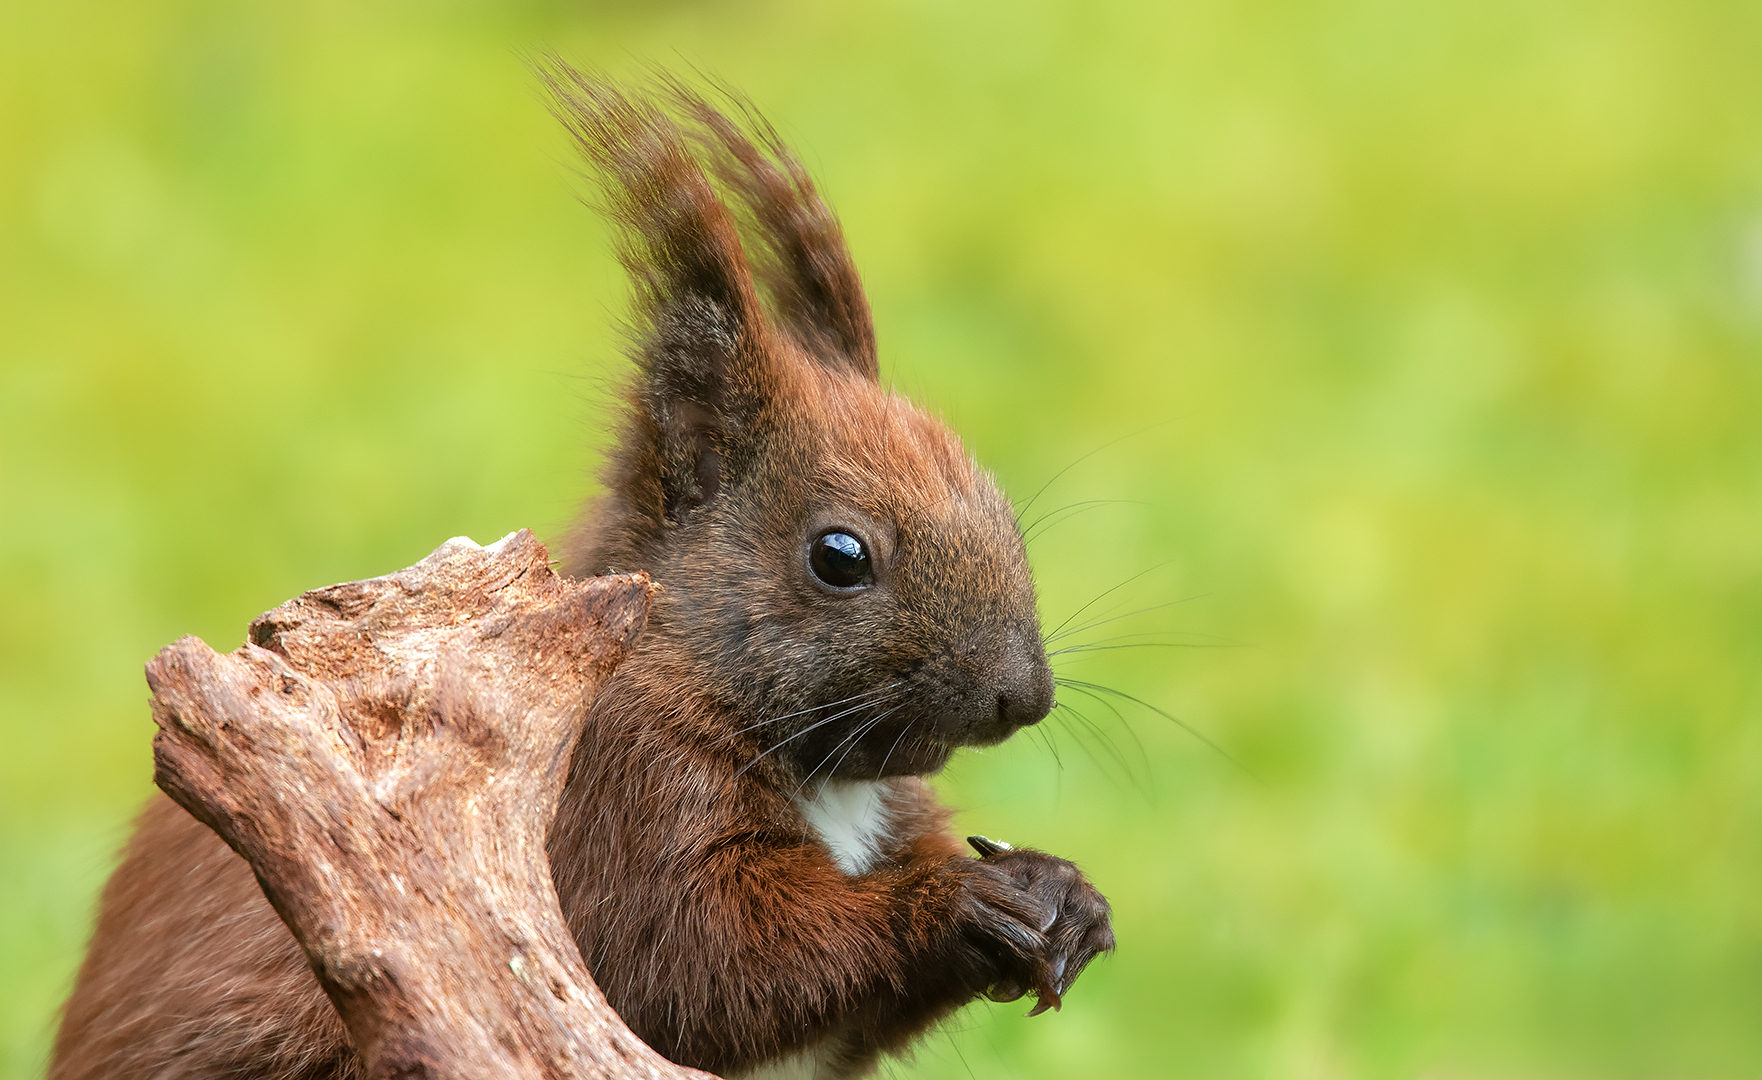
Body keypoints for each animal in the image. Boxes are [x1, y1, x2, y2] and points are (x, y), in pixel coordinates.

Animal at [51, 67, 1113, 1078]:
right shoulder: (613, 796)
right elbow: (712, 963)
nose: (1024, 697)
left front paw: (1065, 894)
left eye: (995, 498)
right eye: (839, 556)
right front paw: (957, 901)